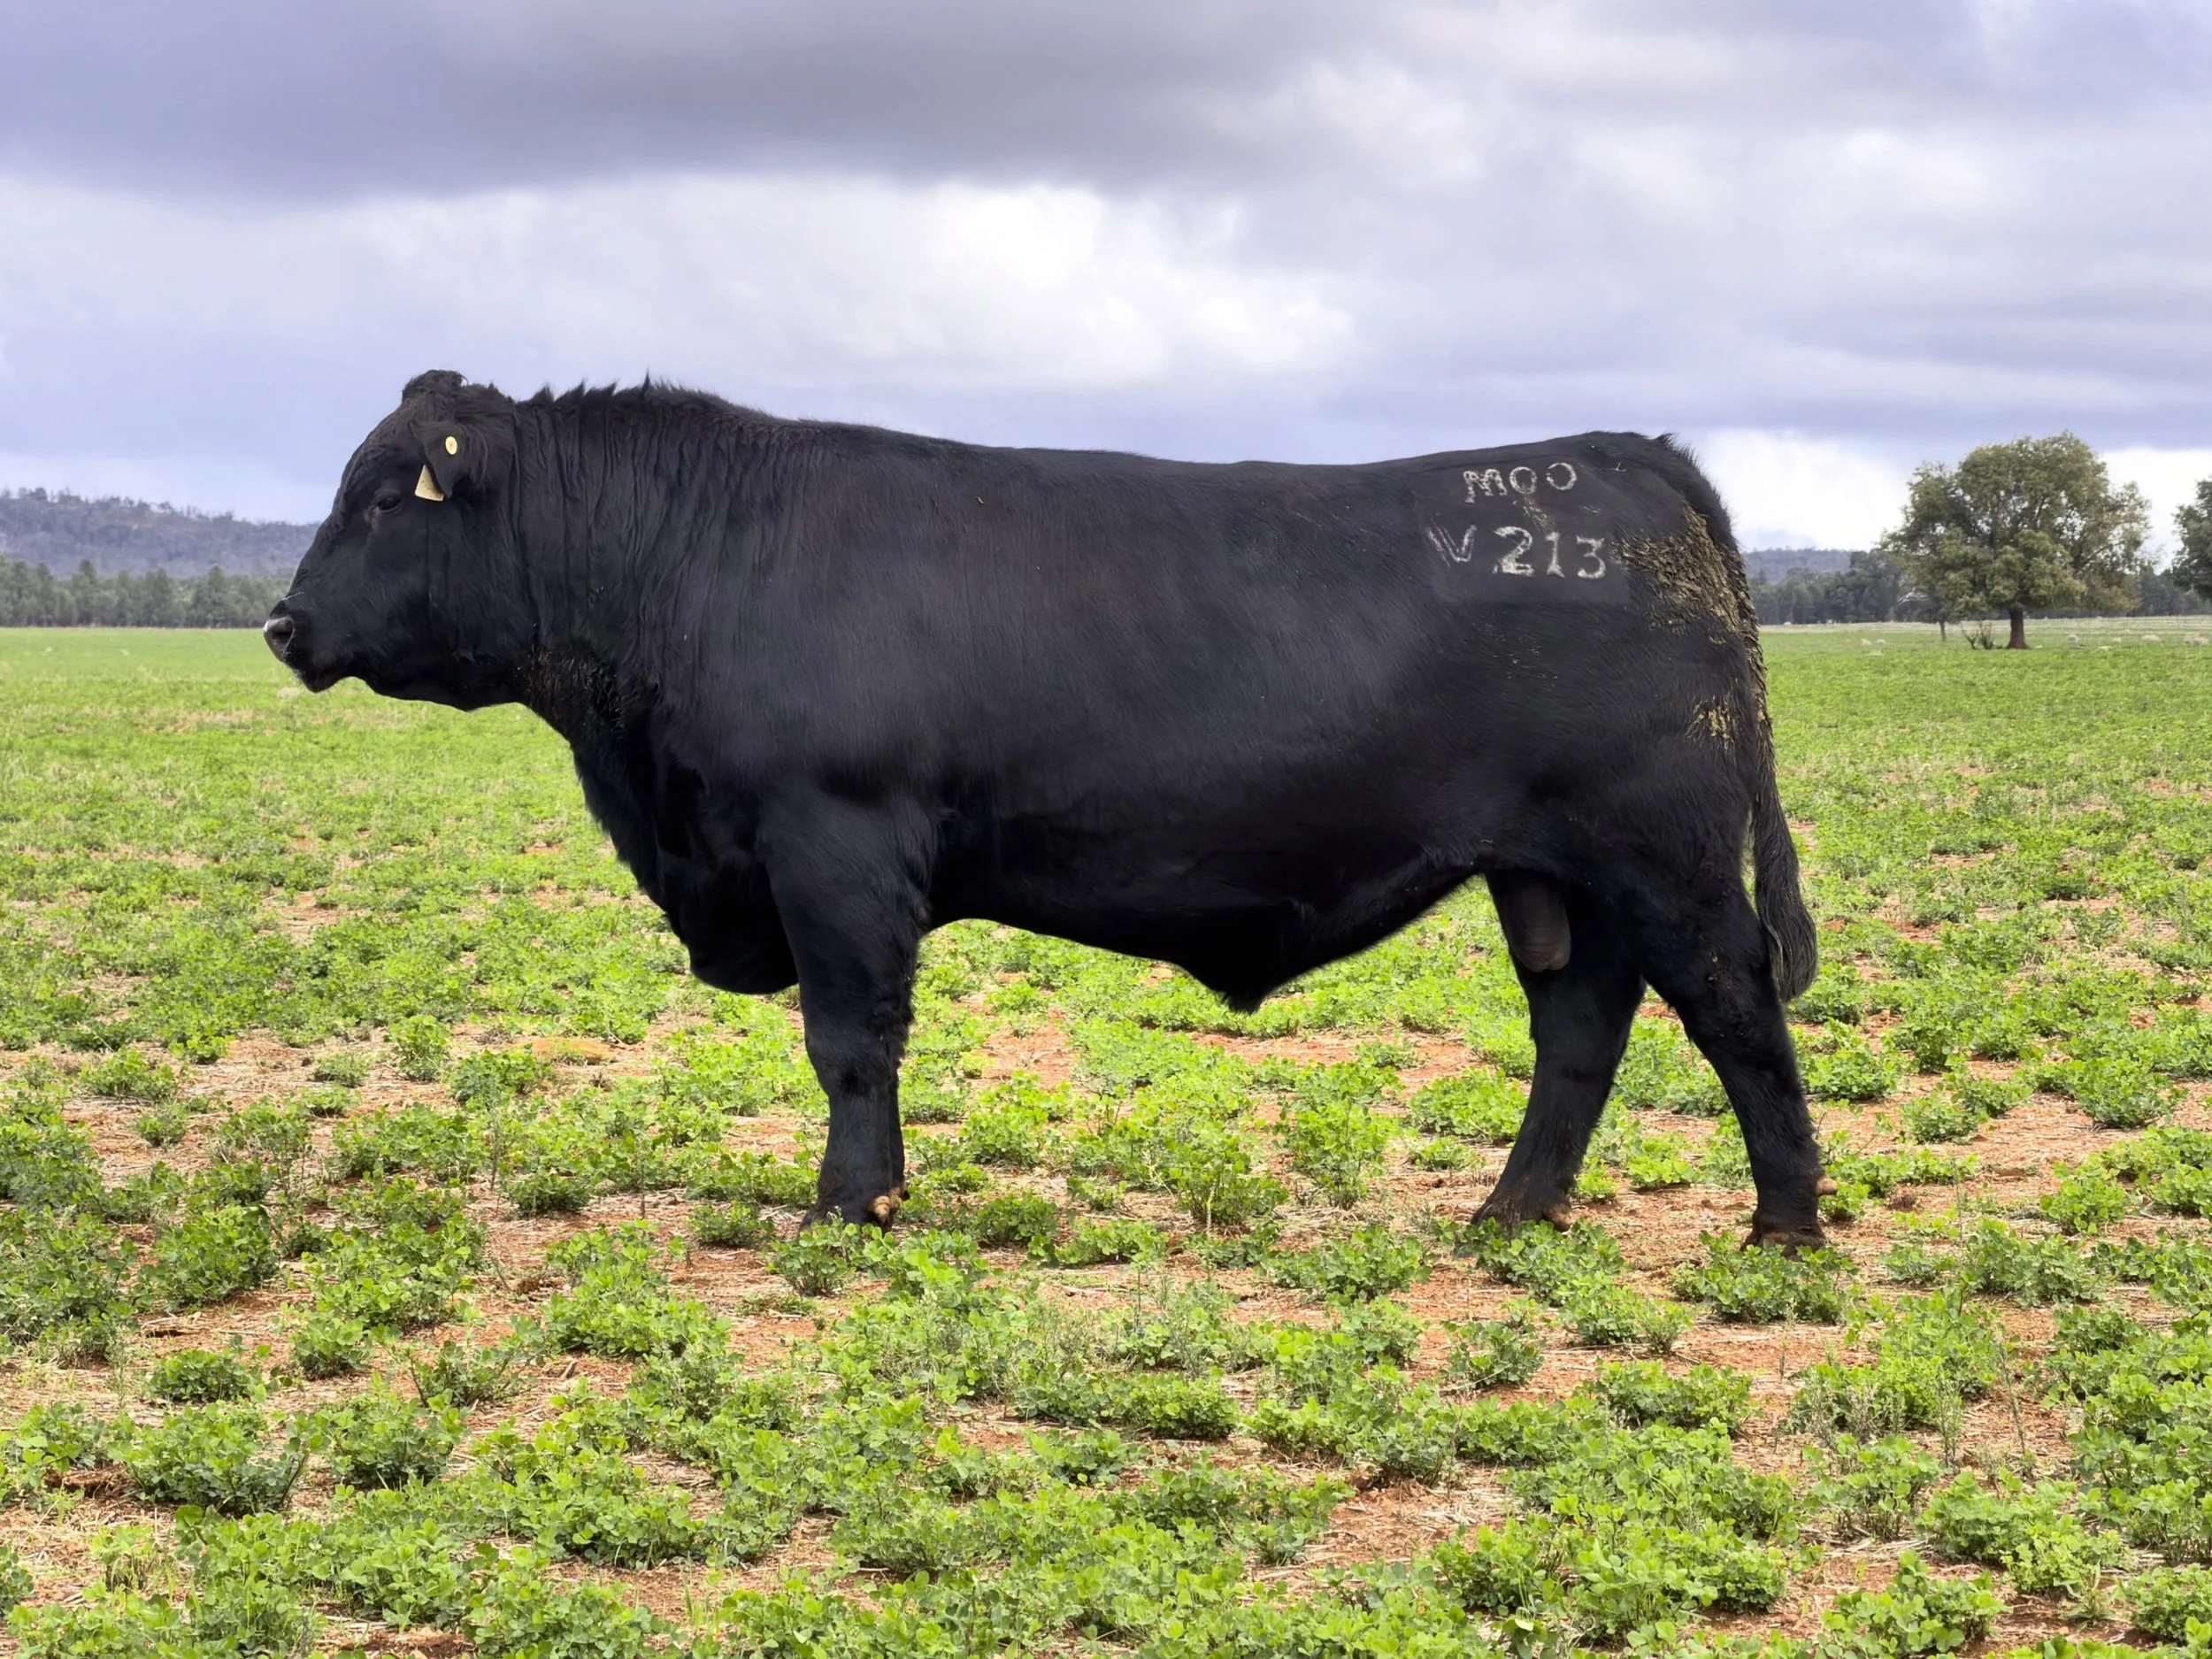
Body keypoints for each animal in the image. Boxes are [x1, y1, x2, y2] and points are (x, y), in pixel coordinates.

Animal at [266, 370, 1828, 1248]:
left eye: (383, 502)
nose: (282, 623)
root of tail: (1614, 452)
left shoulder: (835, 844)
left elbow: (850, 1039)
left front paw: (850, 1207)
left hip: (1670, 856)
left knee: (1738, 1010)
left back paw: (1785, 1227)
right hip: (1558, 875)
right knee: (1582, 1027)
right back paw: (1510, 1215)